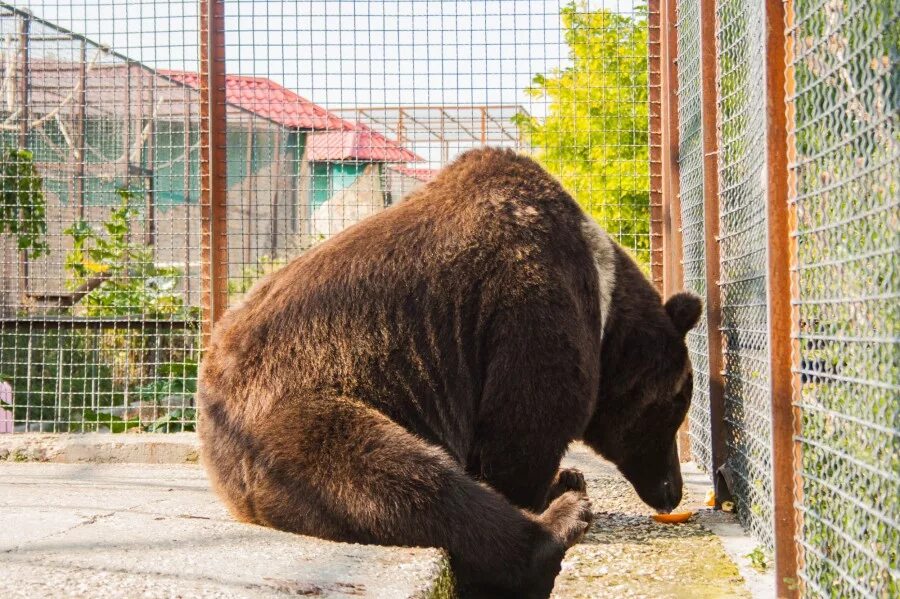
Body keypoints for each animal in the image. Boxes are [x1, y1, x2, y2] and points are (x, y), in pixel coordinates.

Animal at [199, 148, 704, 596]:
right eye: (678, 404)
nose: (672, 492)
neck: (604, 296)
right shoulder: (532, 300)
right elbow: (524, 425)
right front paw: (544, 489)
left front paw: (562, 477)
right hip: (292, 411)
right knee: (398, 477)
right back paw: (563, 515)